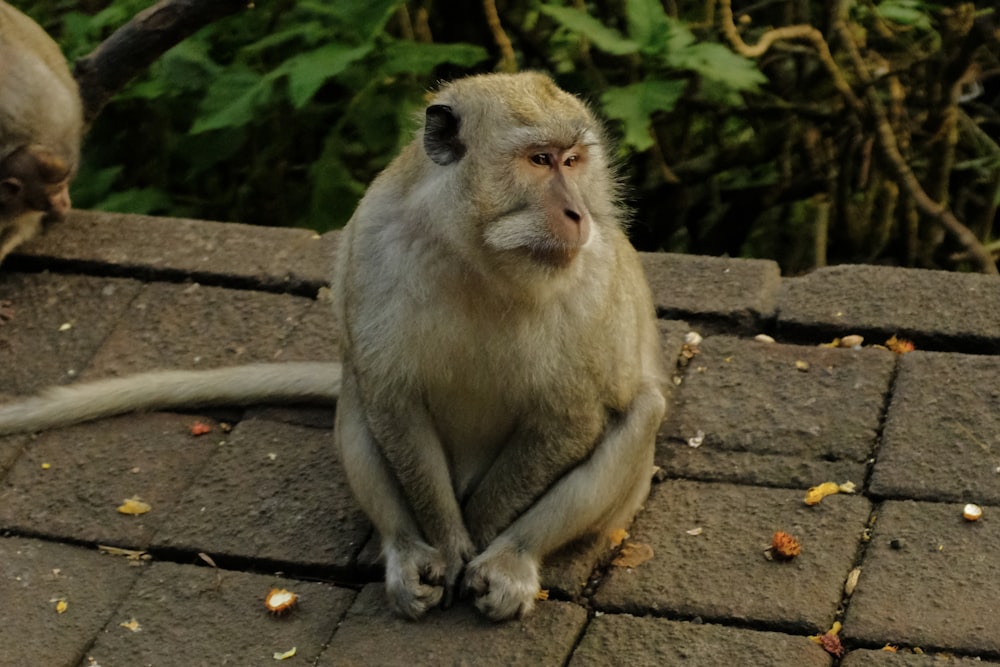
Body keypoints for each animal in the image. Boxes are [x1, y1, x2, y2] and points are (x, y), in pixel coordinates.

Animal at [0, 72, 668, 620]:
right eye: (540, 159)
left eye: (574, 160)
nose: (578, 213)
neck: (480, 253)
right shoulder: (374, 237)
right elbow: (391, 395)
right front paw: (447, 543)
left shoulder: (592, 276)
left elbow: (572, 414)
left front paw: (477, 542)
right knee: (357, 394)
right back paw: (405, 548)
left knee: (639, 412)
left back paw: (514, 558)